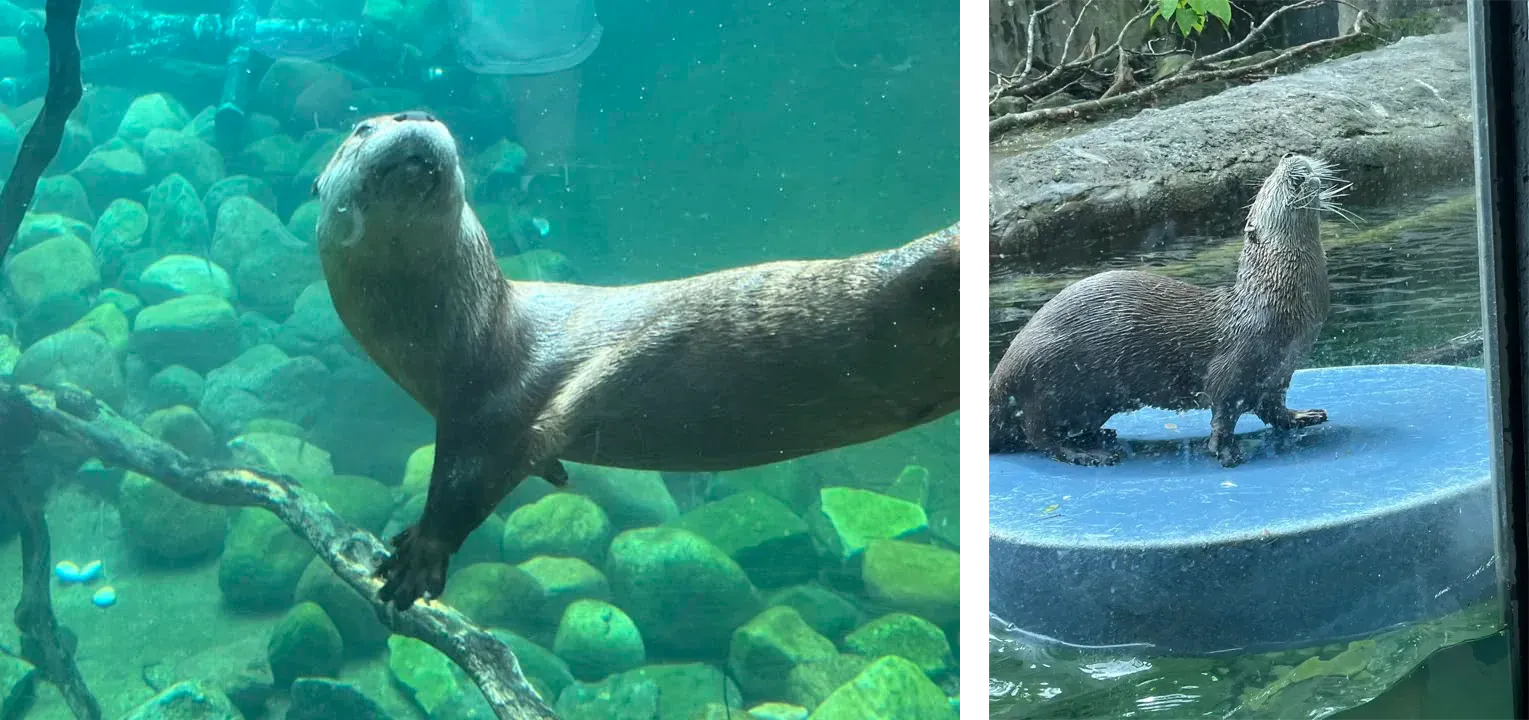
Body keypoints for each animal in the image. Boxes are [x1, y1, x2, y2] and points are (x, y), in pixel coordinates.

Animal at [310, 111, 954, 608]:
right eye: (362, 127)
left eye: (422, 114)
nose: (416, 115)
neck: (471, 336)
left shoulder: (497, 410)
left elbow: (467, 485)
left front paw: (418, 556)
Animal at [990, 152, 1339, 467]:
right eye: (1269, 185)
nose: (1288, 156)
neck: (1276, 301)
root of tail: (1000, 379)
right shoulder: (1235, 365)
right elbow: (1224, 410)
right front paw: (1225, 451)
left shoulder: (1279, 373)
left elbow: (1274, 409)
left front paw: (1303, 415)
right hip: (1047, 383)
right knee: (1039, 436)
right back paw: (1089, 453)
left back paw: (1100, 437)